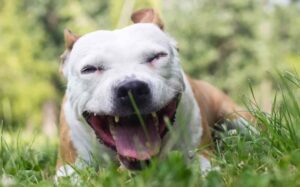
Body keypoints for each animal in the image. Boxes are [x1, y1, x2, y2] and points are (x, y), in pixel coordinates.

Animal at [55, 8, 254, 180]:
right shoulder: (66, 167)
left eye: (157, 56)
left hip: (237, 117)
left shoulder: (201, 153)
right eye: (89, 69)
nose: (131, 88)